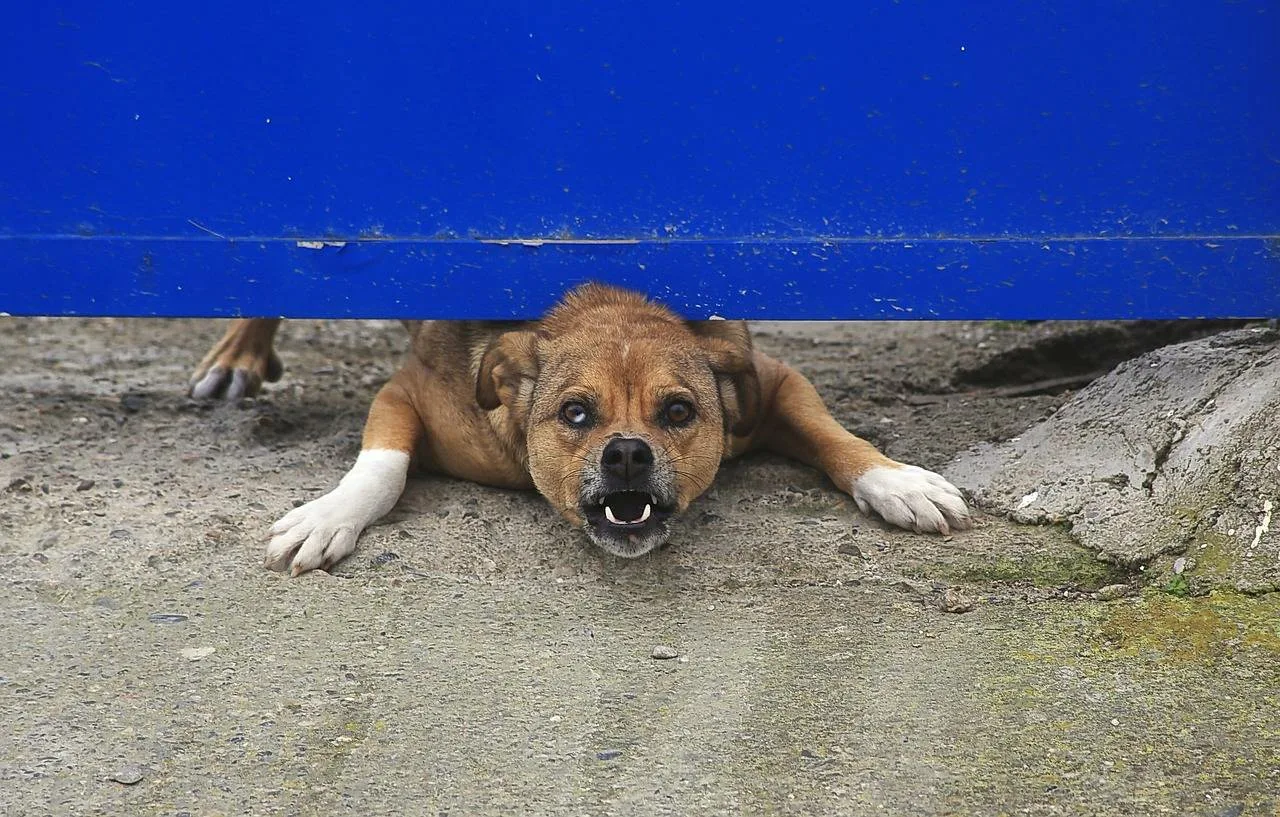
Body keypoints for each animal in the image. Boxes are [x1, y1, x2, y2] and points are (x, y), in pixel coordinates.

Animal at [189, 286, 967, 576]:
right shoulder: (407, 392)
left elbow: (836, 435)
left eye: (678, 412)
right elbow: (381, 467)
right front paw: (329, 516)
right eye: (575, 413)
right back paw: (236, 357)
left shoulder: (770, 380)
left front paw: (897, 482)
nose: (626, 454)